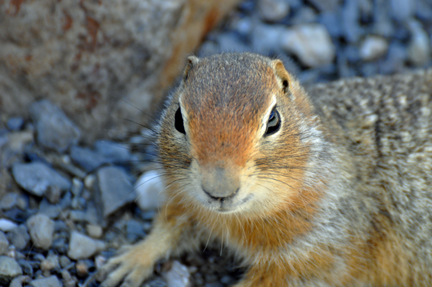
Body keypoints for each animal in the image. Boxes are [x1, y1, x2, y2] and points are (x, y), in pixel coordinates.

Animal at [96, 53, 432, 286]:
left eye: (273, 121)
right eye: (178, 118)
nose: (218, 191)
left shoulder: (318, 252)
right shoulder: (189, 201)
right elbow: (171, 226)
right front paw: (132, 258)